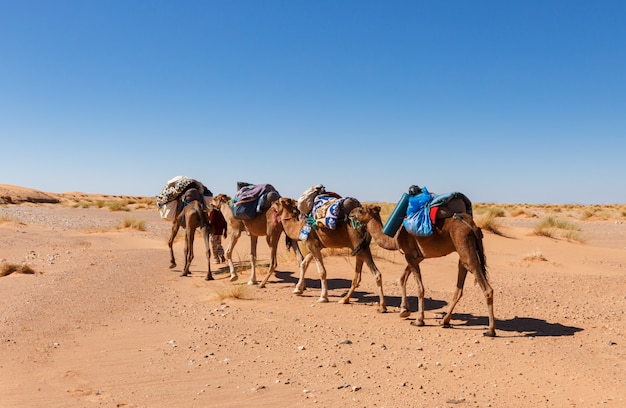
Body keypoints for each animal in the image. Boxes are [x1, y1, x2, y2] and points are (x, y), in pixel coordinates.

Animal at [348, 202, 494, 336]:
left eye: (361, 209)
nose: (350, 212)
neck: (394, 238)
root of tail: (473, 226)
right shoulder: (417, 257)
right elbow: (402, 279)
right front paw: (404, 311)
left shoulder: (409, 254)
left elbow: (420, 288)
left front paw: (419, 320)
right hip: (462, 253)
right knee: (459, 285)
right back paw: (444, 321)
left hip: (464, 243)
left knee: (486, 288)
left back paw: (490, 330)